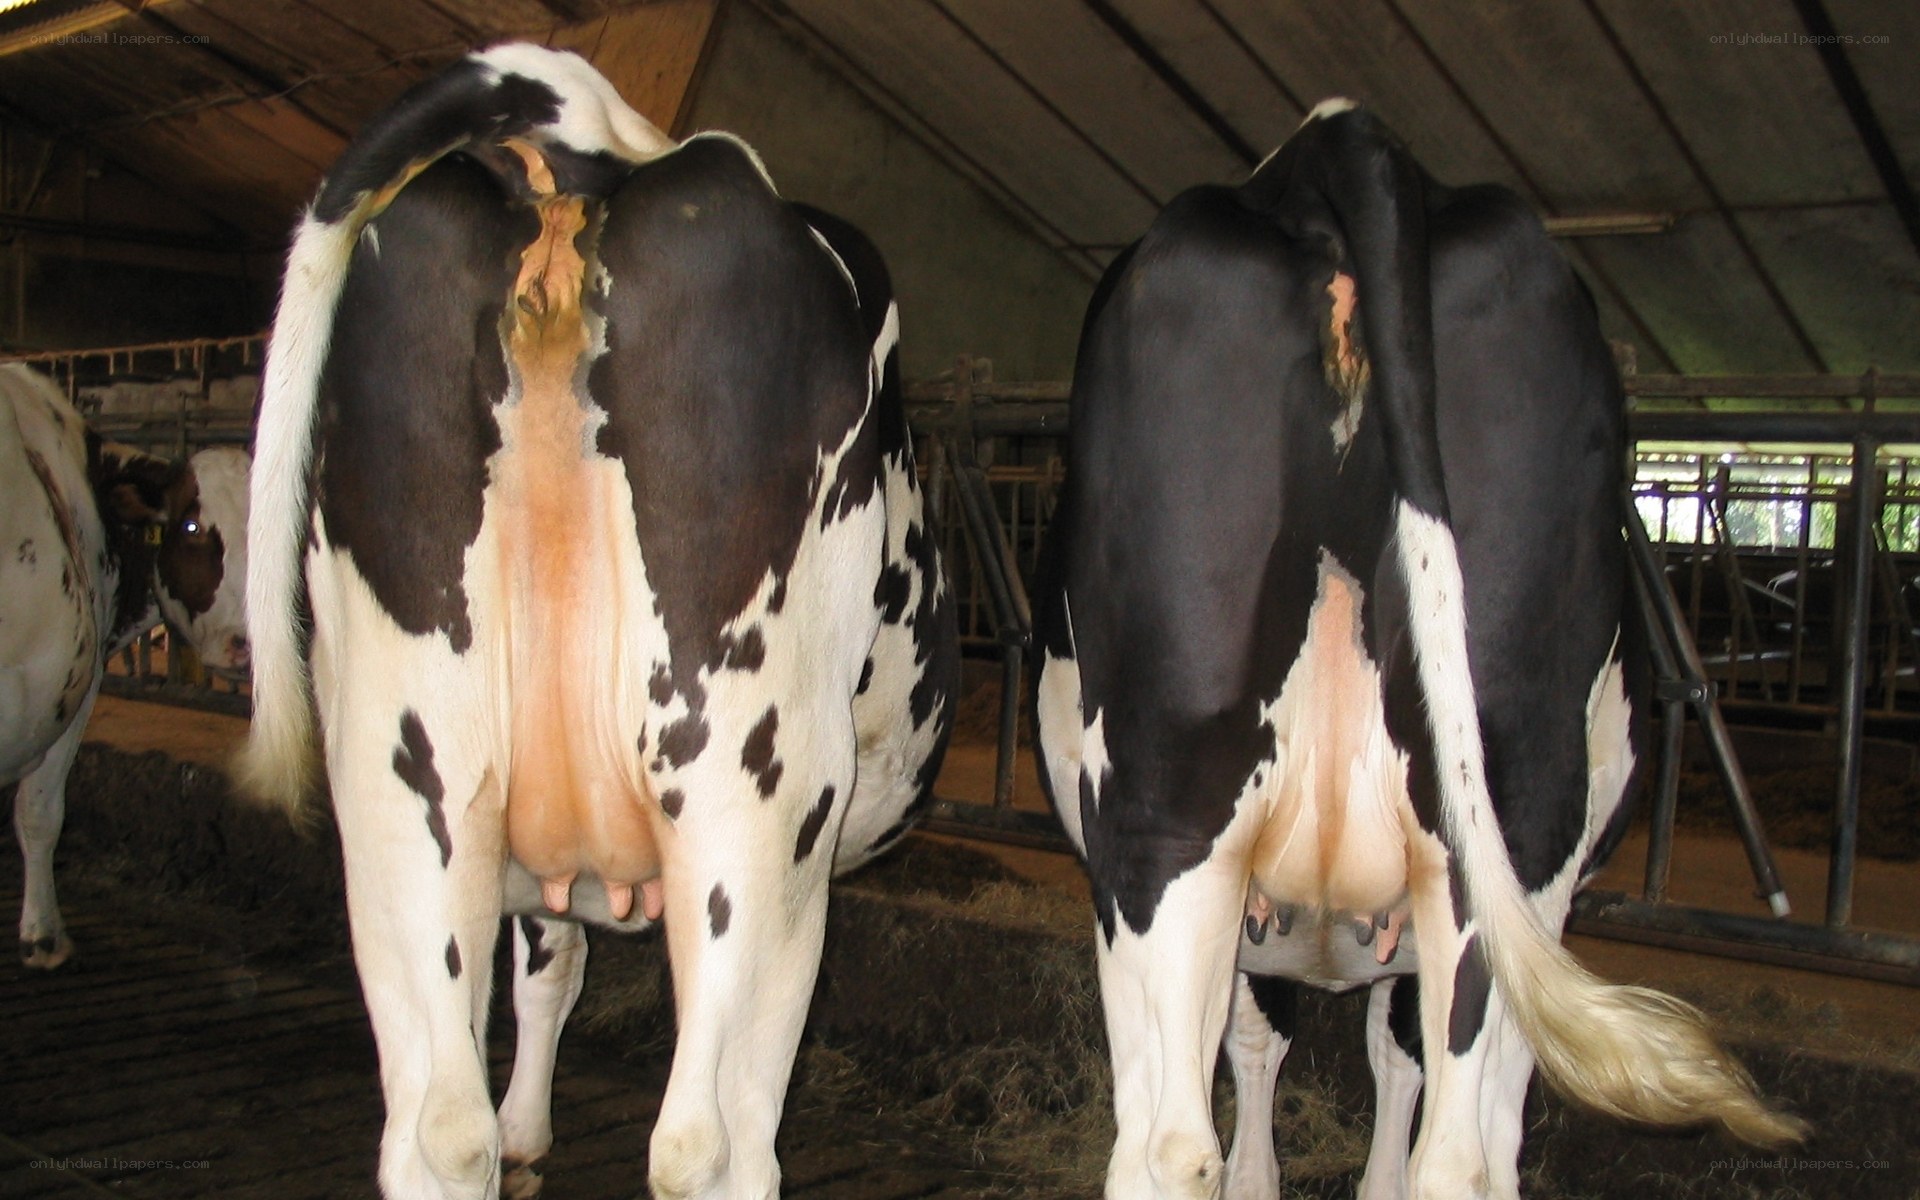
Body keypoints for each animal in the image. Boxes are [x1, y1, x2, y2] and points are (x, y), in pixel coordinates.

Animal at [237, 44, 955, 1200]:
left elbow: (545, 967)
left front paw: (529, 1126)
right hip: (759, 793)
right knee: (707, 1140)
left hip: (406, 772)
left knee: (438, 1126)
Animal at [1031, 102, 1803, 1199]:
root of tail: (1344, 138)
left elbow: (1295, 1049)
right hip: (1502, 827)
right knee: (1459, 1155)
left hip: (1163, 820)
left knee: (1172, 1145)